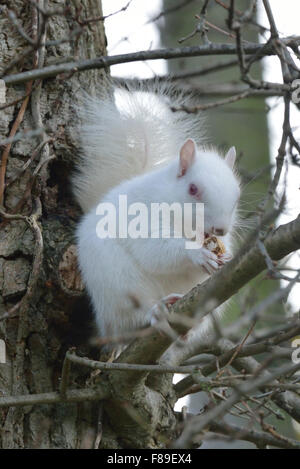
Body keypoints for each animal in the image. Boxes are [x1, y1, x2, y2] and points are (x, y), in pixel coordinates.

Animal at [73, 84, 241, 346]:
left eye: (236, 196)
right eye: (193, 189)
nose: (221, 229)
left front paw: (224, 256)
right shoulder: (143, 217)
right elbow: (154, 250)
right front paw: (196, 254)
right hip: (118, 283)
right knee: (130, 319)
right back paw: (155, 311)